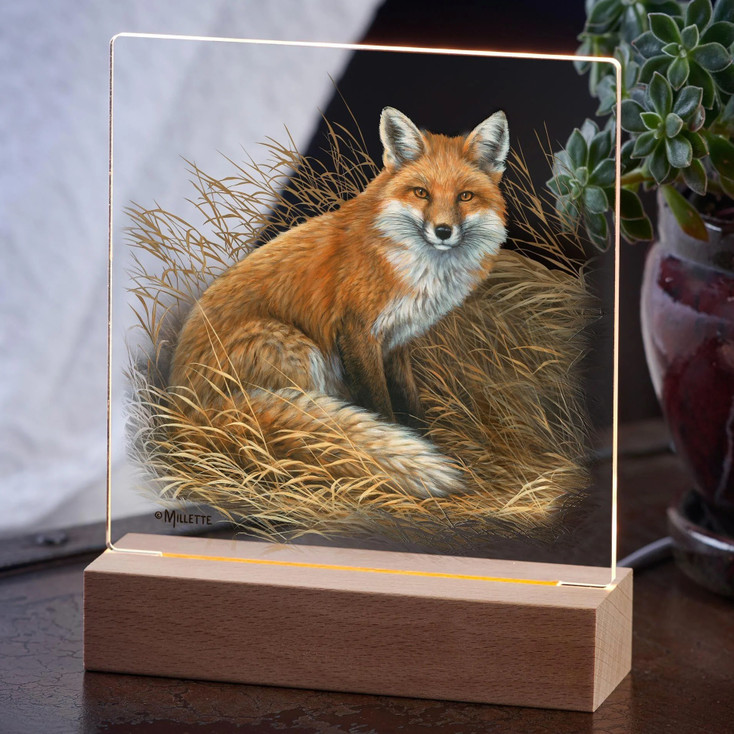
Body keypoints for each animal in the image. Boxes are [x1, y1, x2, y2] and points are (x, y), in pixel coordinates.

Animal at [169, 106, 510, 499]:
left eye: (465, 196)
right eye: (421, 193)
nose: (442, 231)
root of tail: (183, 407)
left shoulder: (397, 339)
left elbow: (410, 399)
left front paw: (425, 438)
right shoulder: (357, 332)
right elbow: (381, 405)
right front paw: (388, 449)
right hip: (297, 349)